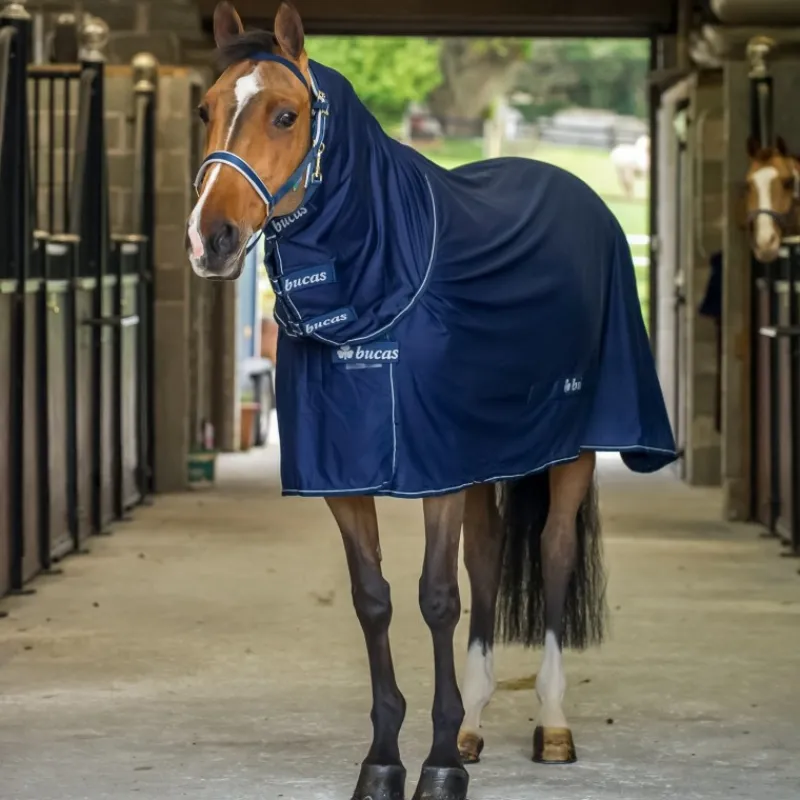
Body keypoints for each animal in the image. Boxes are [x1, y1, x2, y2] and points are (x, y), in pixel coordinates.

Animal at [185, 4, 678, 798]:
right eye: (206, 109)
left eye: (286, 115)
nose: (212, 238)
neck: (383, 282)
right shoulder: (349, 476)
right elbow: (375, 598)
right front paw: (386, 759)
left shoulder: (434, 469)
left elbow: (437, 597)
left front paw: (439, 763)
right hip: (485, 456)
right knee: (489, 559)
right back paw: (476, 726)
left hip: (572, 451)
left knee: (554, 555)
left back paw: (551, 725)